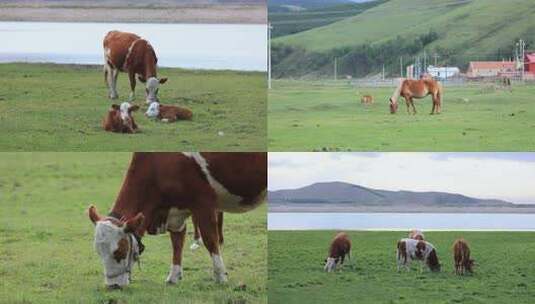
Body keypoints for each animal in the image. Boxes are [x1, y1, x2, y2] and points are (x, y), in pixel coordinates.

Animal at [86, 153, 268, 288]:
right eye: (98, 252)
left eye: (120, 252)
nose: (113, 286)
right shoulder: (175, 212)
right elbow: (177, 243)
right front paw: (173, 276)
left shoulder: (204, 203)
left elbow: (210, 240)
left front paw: (221, 276)